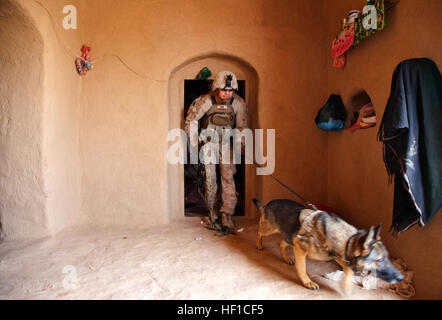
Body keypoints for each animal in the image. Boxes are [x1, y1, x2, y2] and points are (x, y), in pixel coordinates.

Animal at [252, 200, 404, 292]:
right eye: (380, 260)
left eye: (387, 258)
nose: (401, 278)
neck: (347, 240)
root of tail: (269, 203)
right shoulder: (300, 246)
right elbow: (302, 268)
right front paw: (307, 282)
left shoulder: (335, 255)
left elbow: (347, 270)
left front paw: (346, 285)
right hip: (271, 229)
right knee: (259, 230)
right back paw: (258, 244)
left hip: (289, 236)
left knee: (281, 243)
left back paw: (287, 258)